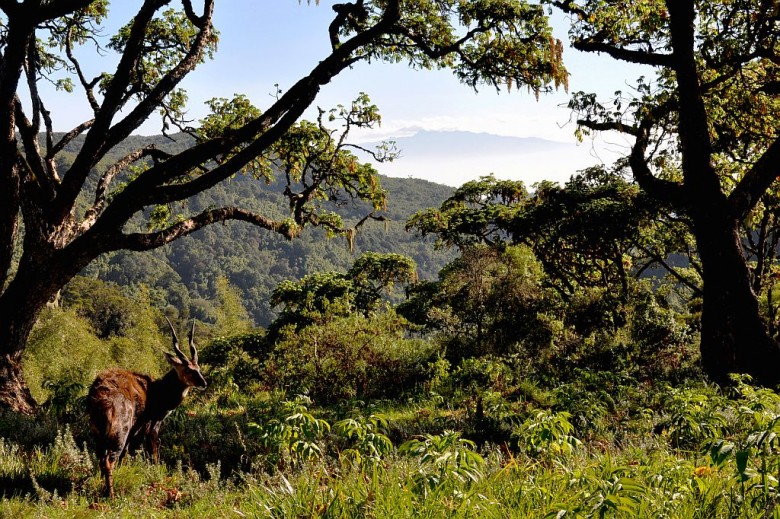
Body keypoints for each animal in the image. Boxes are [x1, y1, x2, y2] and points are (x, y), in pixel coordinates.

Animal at [87, 316, 207, 500]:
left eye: (198, 367)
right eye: (188, 369)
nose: (204, 383)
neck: (158, 394)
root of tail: (102, 402)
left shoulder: (136, 428)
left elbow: (127, 453)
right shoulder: (151, 423)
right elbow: (154, 451)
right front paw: (157, 474)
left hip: (99, 433)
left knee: (102, 458)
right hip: (120, 430)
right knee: (109, 460)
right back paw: (111, 495)